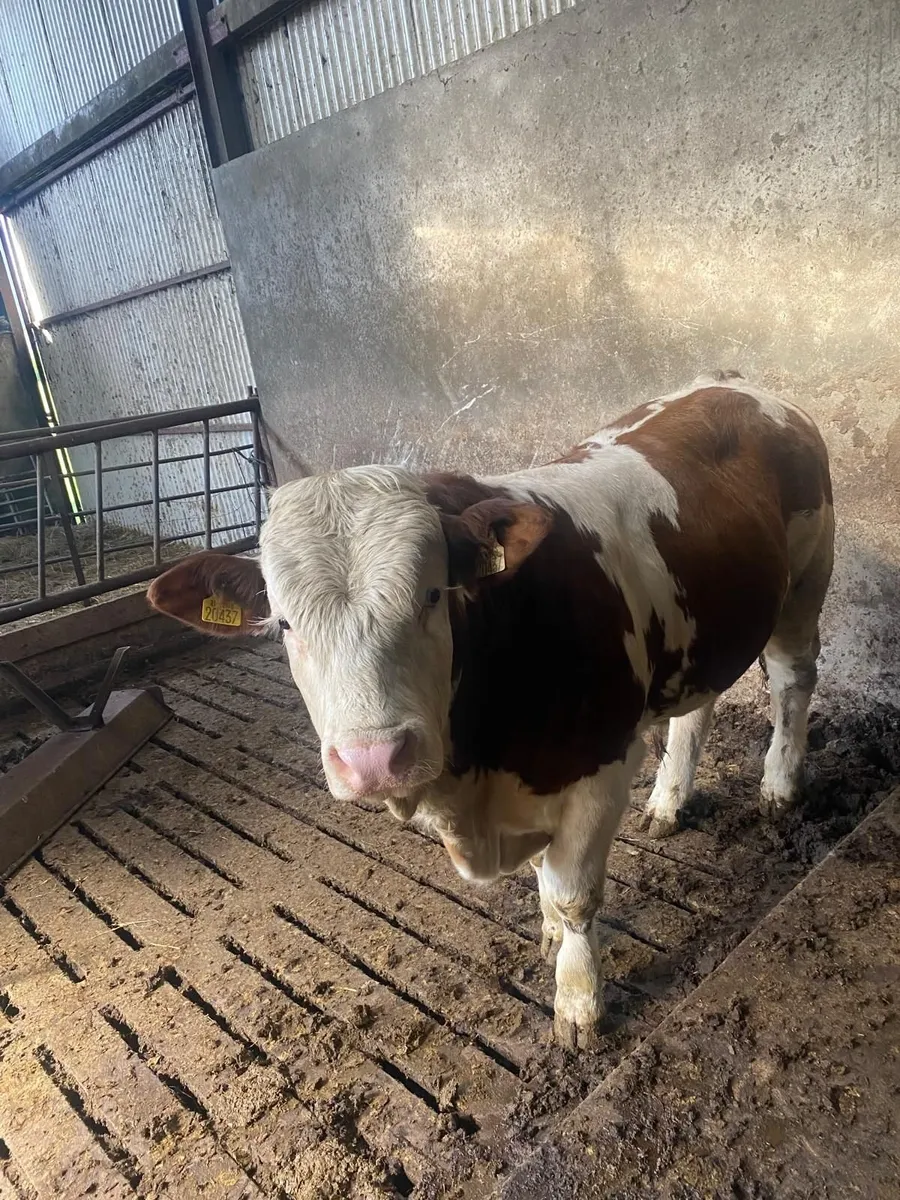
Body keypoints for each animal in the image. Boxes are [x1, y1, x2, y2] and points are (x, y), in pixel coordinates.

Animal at [147, 372, 834, 1050]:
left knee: (793, 683)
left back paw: (779, 786)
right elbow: (546, 881)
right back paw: (668, 802)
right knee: (697, 709)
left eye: (432, 595)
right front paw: (550, 934)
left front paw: (578, 1003)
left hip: (805, 583)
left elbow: (575, 896)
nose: (373, 759)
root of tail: (732, 384)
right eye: (284, 623)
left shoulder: (601, 768)